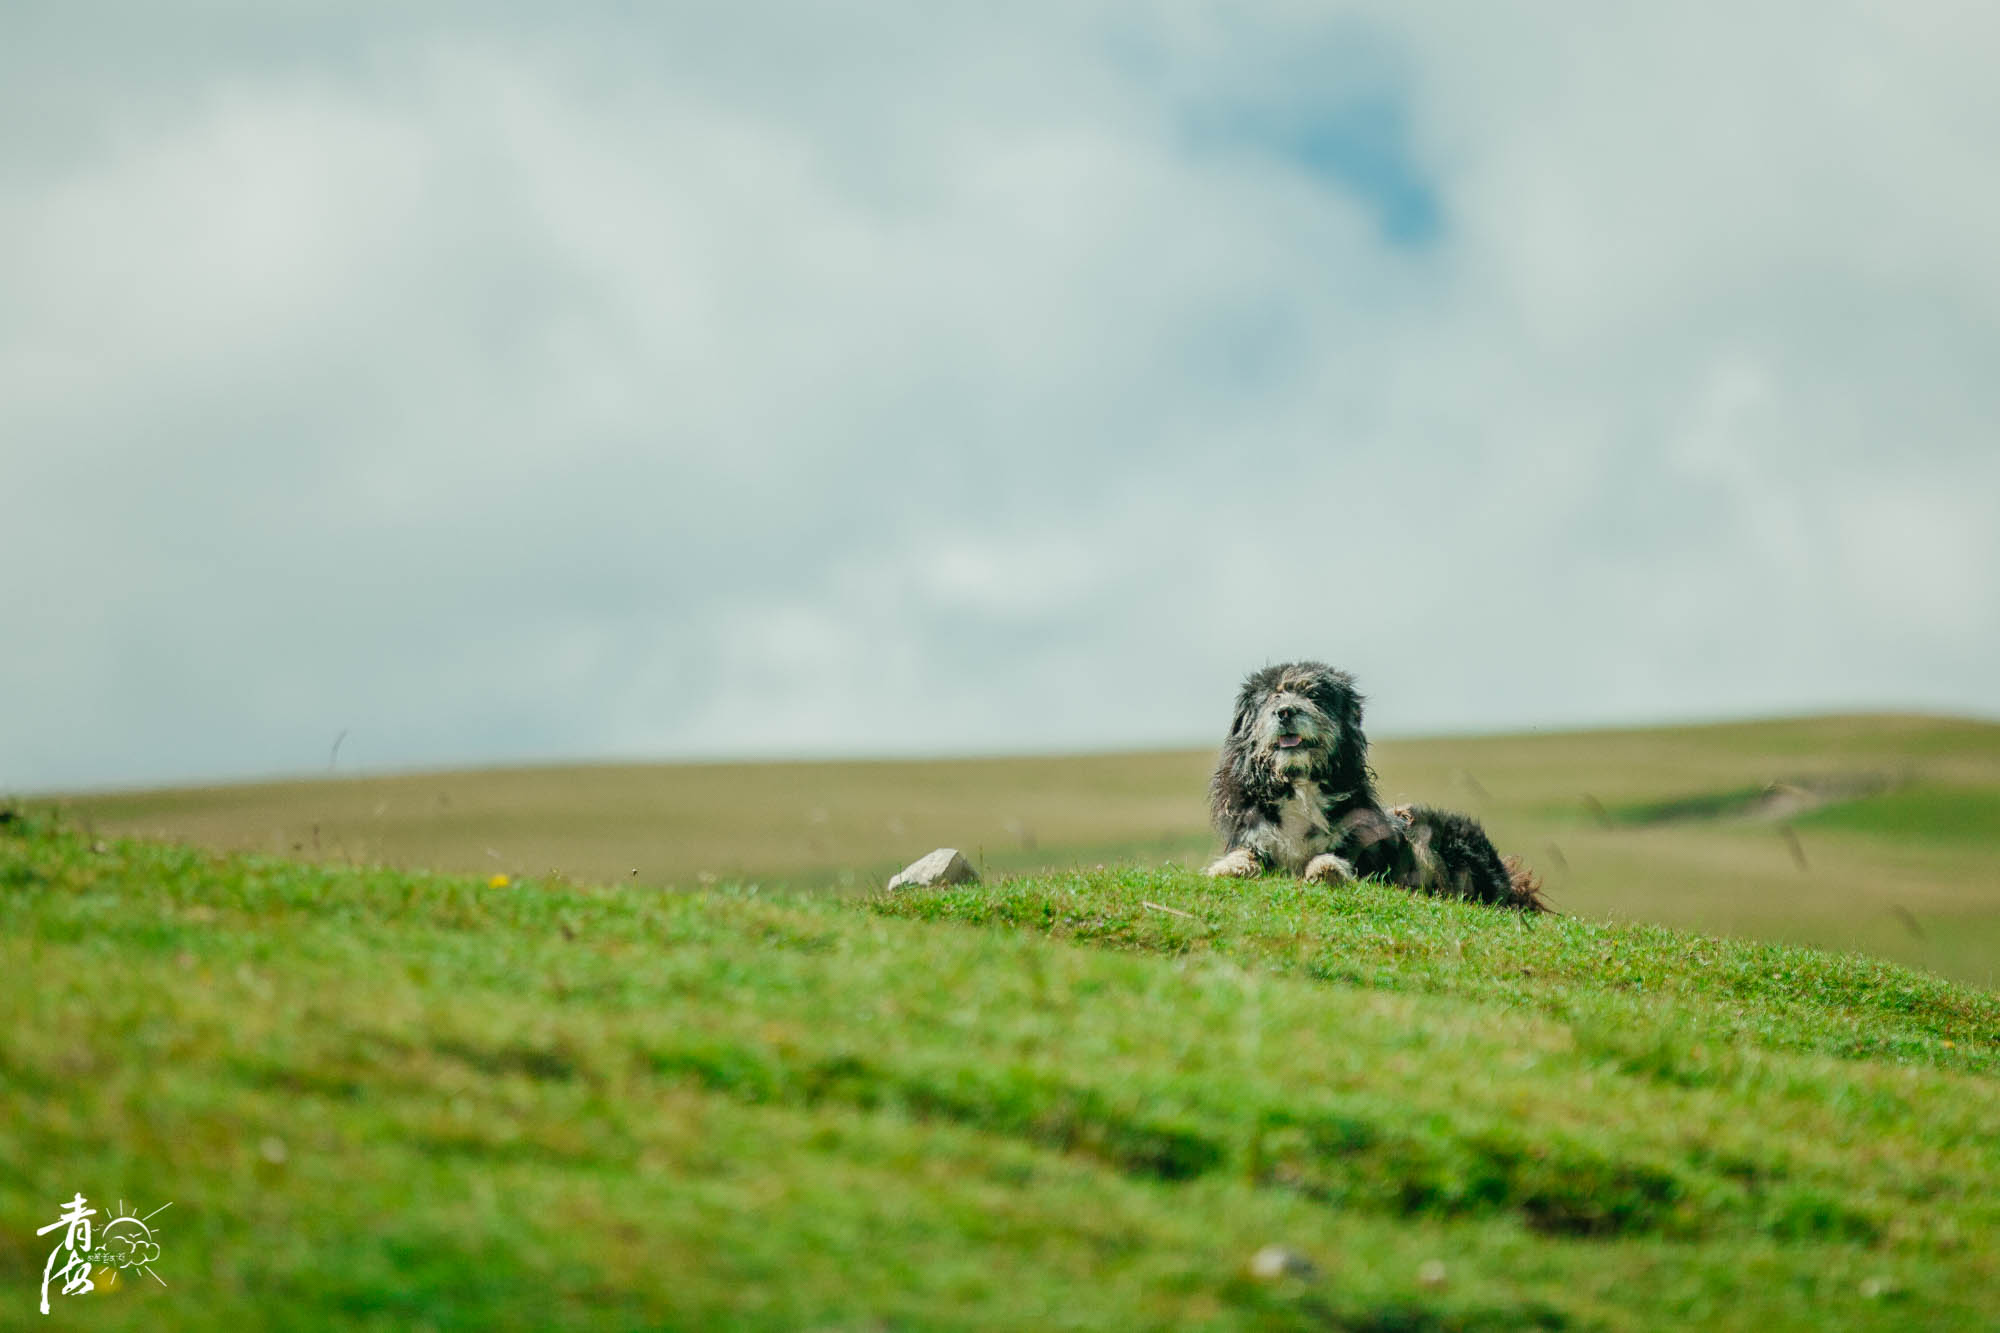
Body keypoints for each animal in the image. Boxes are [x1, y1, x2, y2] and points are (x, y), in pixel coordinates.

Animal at [1200, 660, 1544, 908]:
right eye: (1273, 695)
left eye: (1314, 695)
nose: (1286, 712)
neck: (1298, 782)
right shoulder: (1254, 835)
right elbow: (1246, 855)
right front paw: (1228, 868)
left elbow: (1336, 860)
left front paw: (1327, 870)